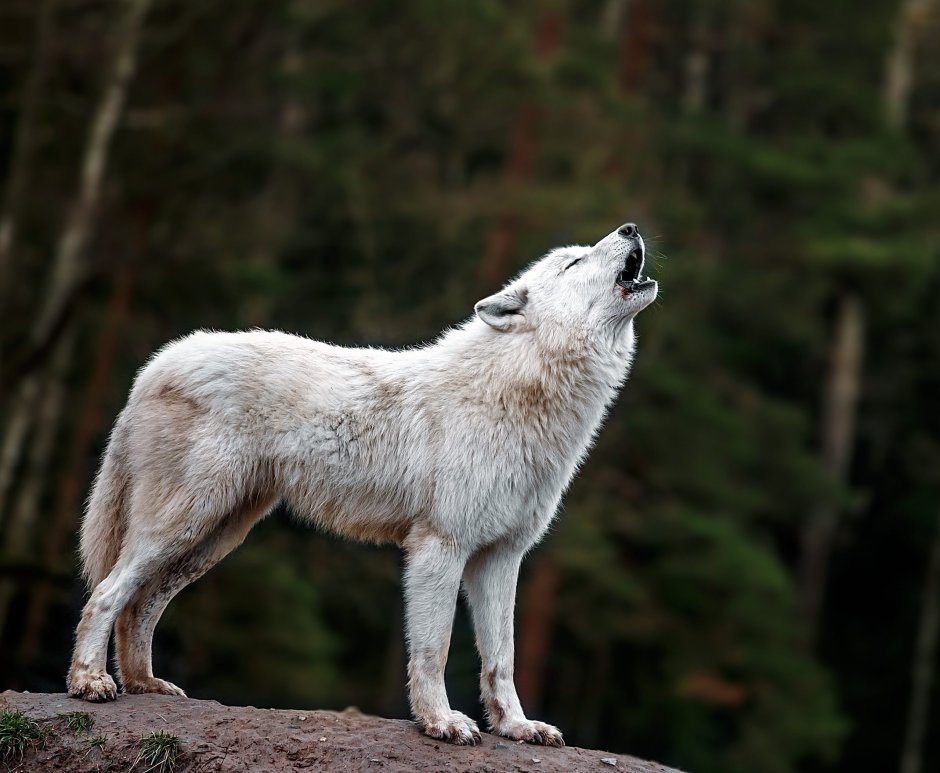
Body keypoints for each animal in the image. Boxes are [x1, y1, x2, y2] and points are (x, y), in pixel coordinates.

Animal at [67, 222, 657, 746]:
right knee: (105, 594)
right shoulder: (439, 547)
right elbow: (435, 650)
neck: (517, 391)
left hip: (213, 537)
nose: (631, 228)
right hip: (183, 523)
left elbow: (501, 660)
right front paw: (441, 723)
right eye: (573, 262)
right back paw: (90, 682)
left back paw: (144, 685)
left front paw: (516, 727)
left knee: (139, 605)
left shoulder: (501, 557)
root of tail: (157, 362)